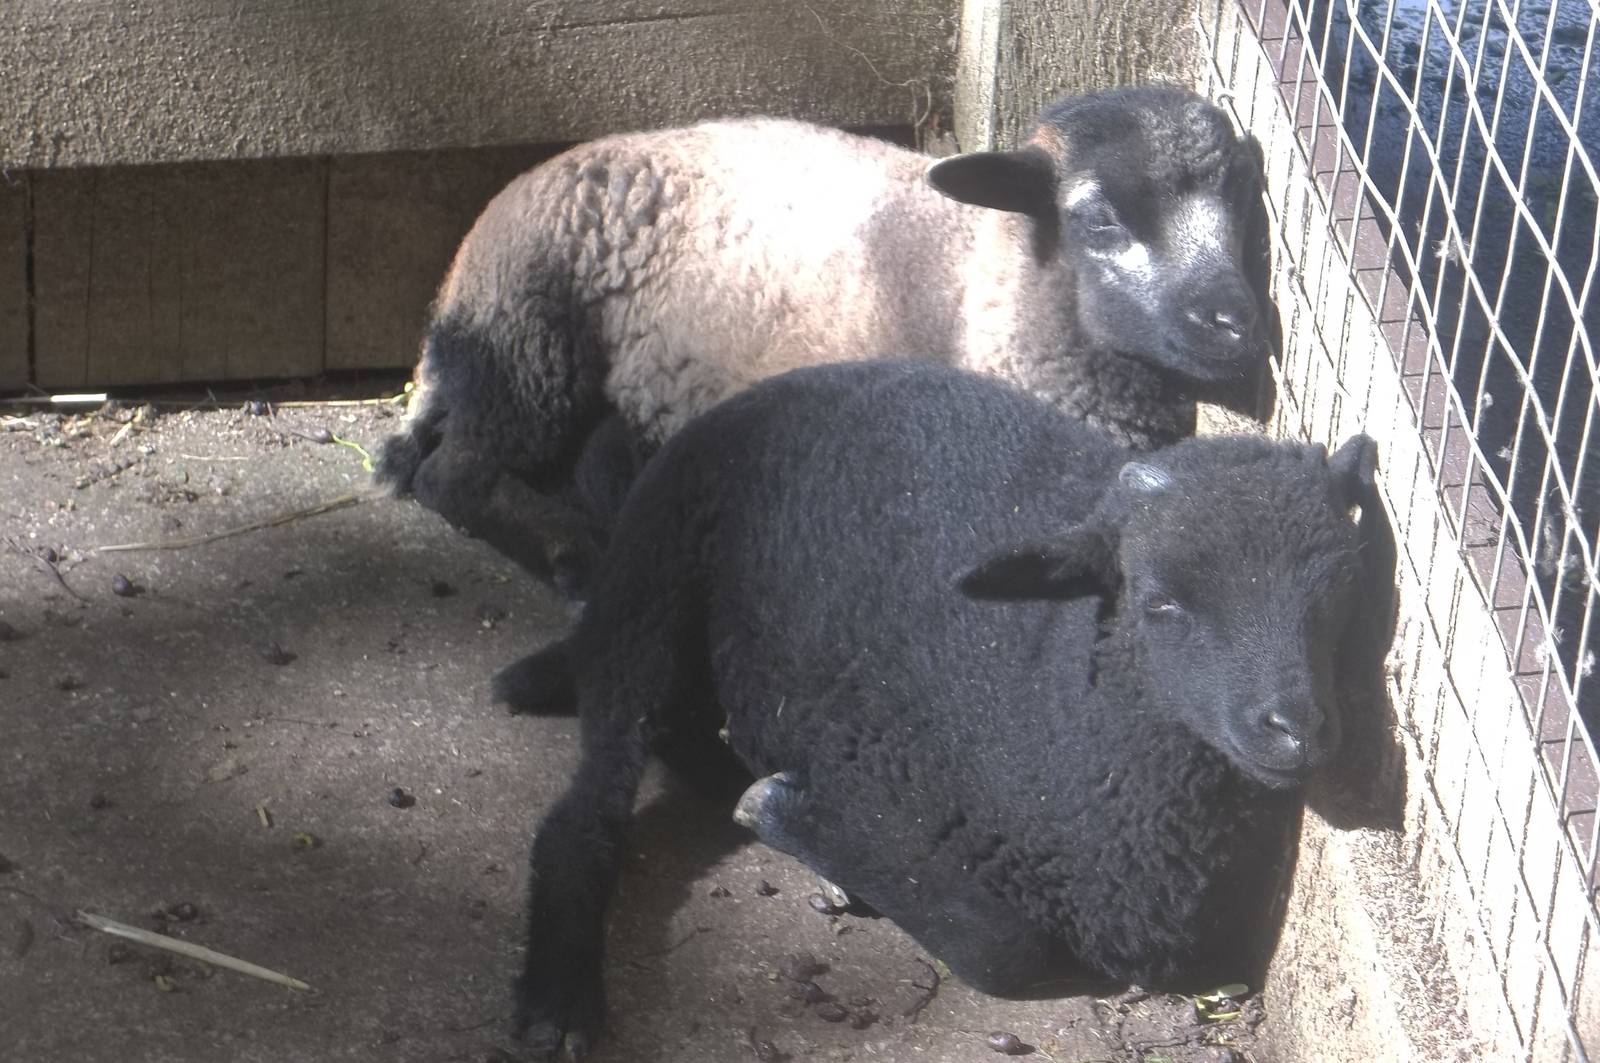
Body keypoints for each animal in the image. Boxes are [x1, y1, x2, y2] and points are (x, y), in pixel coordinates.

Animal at [374, 86, 1275, 591]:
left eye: (1242, 203)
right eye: (1098, 218)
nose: (1238, 322)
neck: (982, 288)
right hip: (529, 348)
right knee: (454, 477)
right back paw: (565, 556)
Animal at [507, 360, 1391, 1057]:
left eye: (1343, 592)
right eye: (1160, 599)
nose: (1296, 728)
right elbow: (1005, 949)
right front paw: (787, 813)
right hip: (652, 579)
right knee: (588, 803)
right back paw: (559, 995)